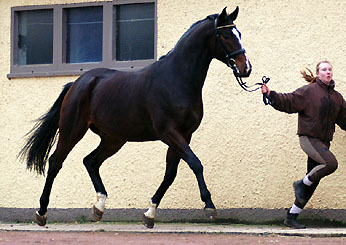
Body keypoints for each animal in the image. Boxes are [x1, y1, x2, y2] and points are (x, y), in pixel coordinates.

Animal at [19, 6, 251, 228]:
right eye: (227, 35)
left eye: (239, 33)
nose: (246, 68)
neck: (175, 79)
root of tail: (77, 83)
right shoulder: (169, 133)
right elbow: (195, 163)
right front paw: (209, 206)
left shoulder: (184, 135)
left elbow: (170, 174)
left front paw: (149, 214)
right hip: (72, 130)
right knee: (55, 162)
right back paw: (42, 212)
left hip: (114, 139)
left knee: (91, 161)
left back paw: (99, 207)